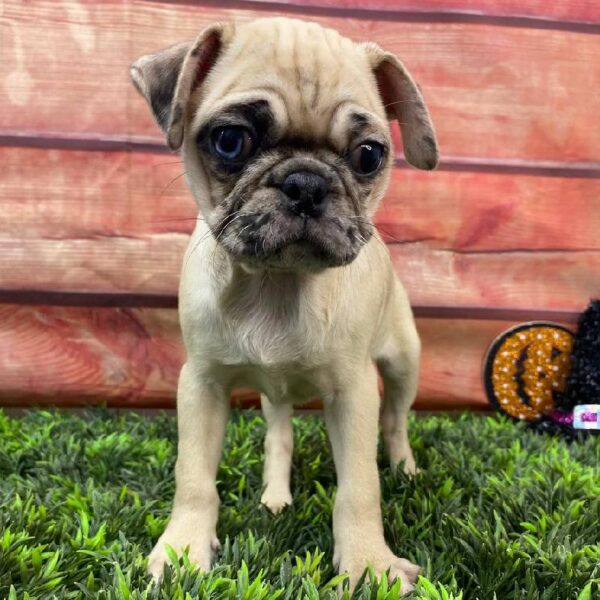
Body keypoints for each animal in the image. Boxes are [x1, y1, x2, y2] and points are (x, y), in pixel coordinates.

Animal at [131, 16, 438, 592]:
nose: (307, 182)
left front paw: (369, 564)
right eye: (230, 141)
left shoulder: (353, 393)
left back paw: (405, 468)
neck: (277, 283)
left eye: (369, 155)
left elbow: (359, 486)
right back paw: (275, 497)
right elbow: (194, 476)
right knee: (280, 434)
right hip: (274, 395)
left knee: (395, 422)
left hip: (403, 361)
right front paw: (183, 550)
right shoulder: (201, 384)